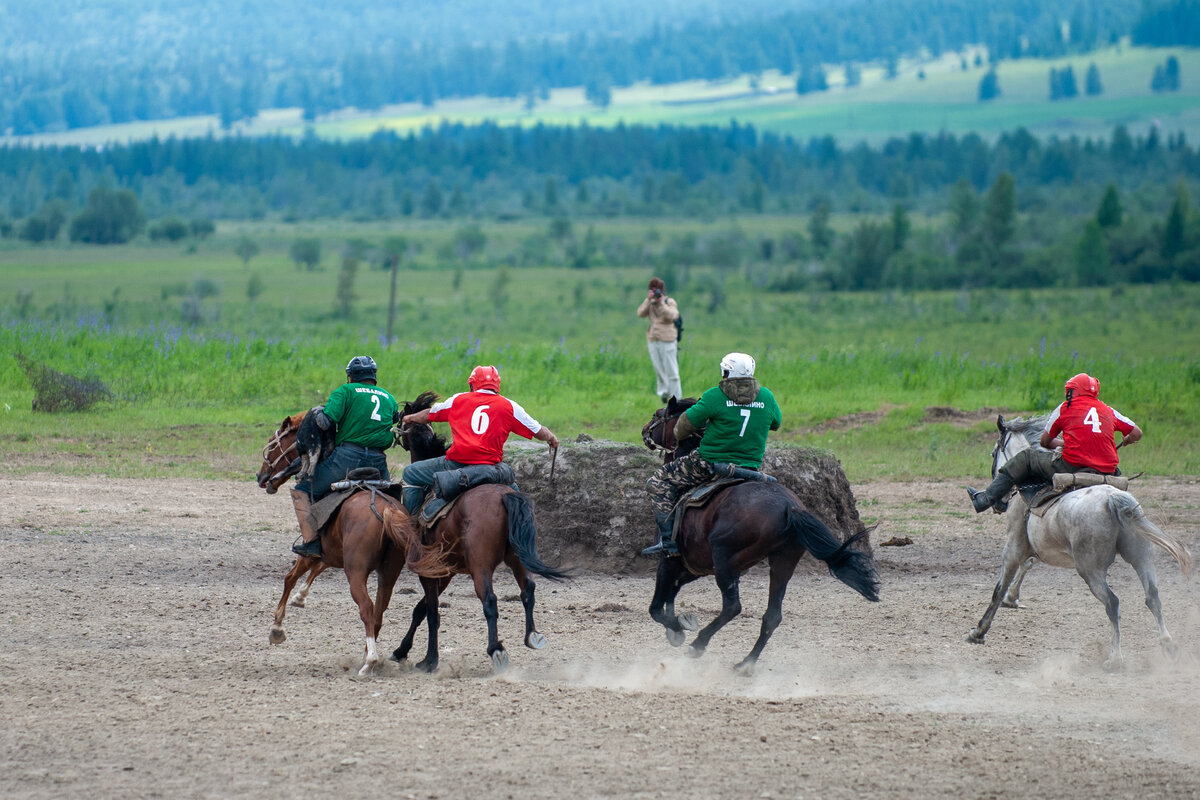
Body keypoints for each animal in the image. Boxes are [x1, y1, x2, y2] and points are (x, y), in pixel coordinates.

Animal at [254, 412, 422, 676]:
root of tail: (385, 509)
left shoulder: (312, 550)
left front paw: (277, 628)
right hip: (388, 572)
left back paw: (369, 661)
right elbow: (317, 569)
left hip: (356, 572)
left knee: (367, 608)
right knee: (378, 612)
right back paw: (368, 656)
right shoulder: (332, 553)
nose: (261, 477)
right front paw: (300, 598)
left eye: (272, 443)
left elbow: (290, 577)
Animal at [384, 393, 571, 676]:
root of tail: (504, 496)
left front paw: (429, 660)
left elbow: (431, 613)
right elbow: (422, 610)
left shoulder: (431, 570)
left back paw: (496, 650)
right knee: (528, 589)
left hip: (481, 565)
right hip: (517, 557)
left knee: (490, 601)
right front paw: (402, 651)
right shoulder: (445, 572)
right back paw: (533, 636)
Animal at [638, 400, 883, 676]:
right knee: (772, 616)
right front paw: (677, 625)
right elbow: (672, 592)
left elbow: (656, 607)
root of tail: (789, 507)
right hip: (782, 563)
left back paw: (698, 645)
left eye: (658, 415)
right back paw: (746, 663)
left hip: (725, 561)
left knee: (733, 607)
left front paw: (678, 629)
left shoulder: (670, 561)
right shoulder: (695, 567)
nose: (644, 429)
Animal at [964, 412, 1190, 671]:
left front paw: (979, 631)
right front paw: (1012, 599)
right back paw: (1168, 645)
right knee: (1152, 596)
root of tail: (1114, 499)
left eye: (994, 454)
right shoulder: (1035, 548)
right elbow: (1028, 565)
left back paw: (1115, 658)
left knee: (1113, 603)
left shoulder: (1013, 548)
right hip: (1140, 557)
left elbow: (998, 589)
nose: (1000, 504)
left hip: (1090, 569)